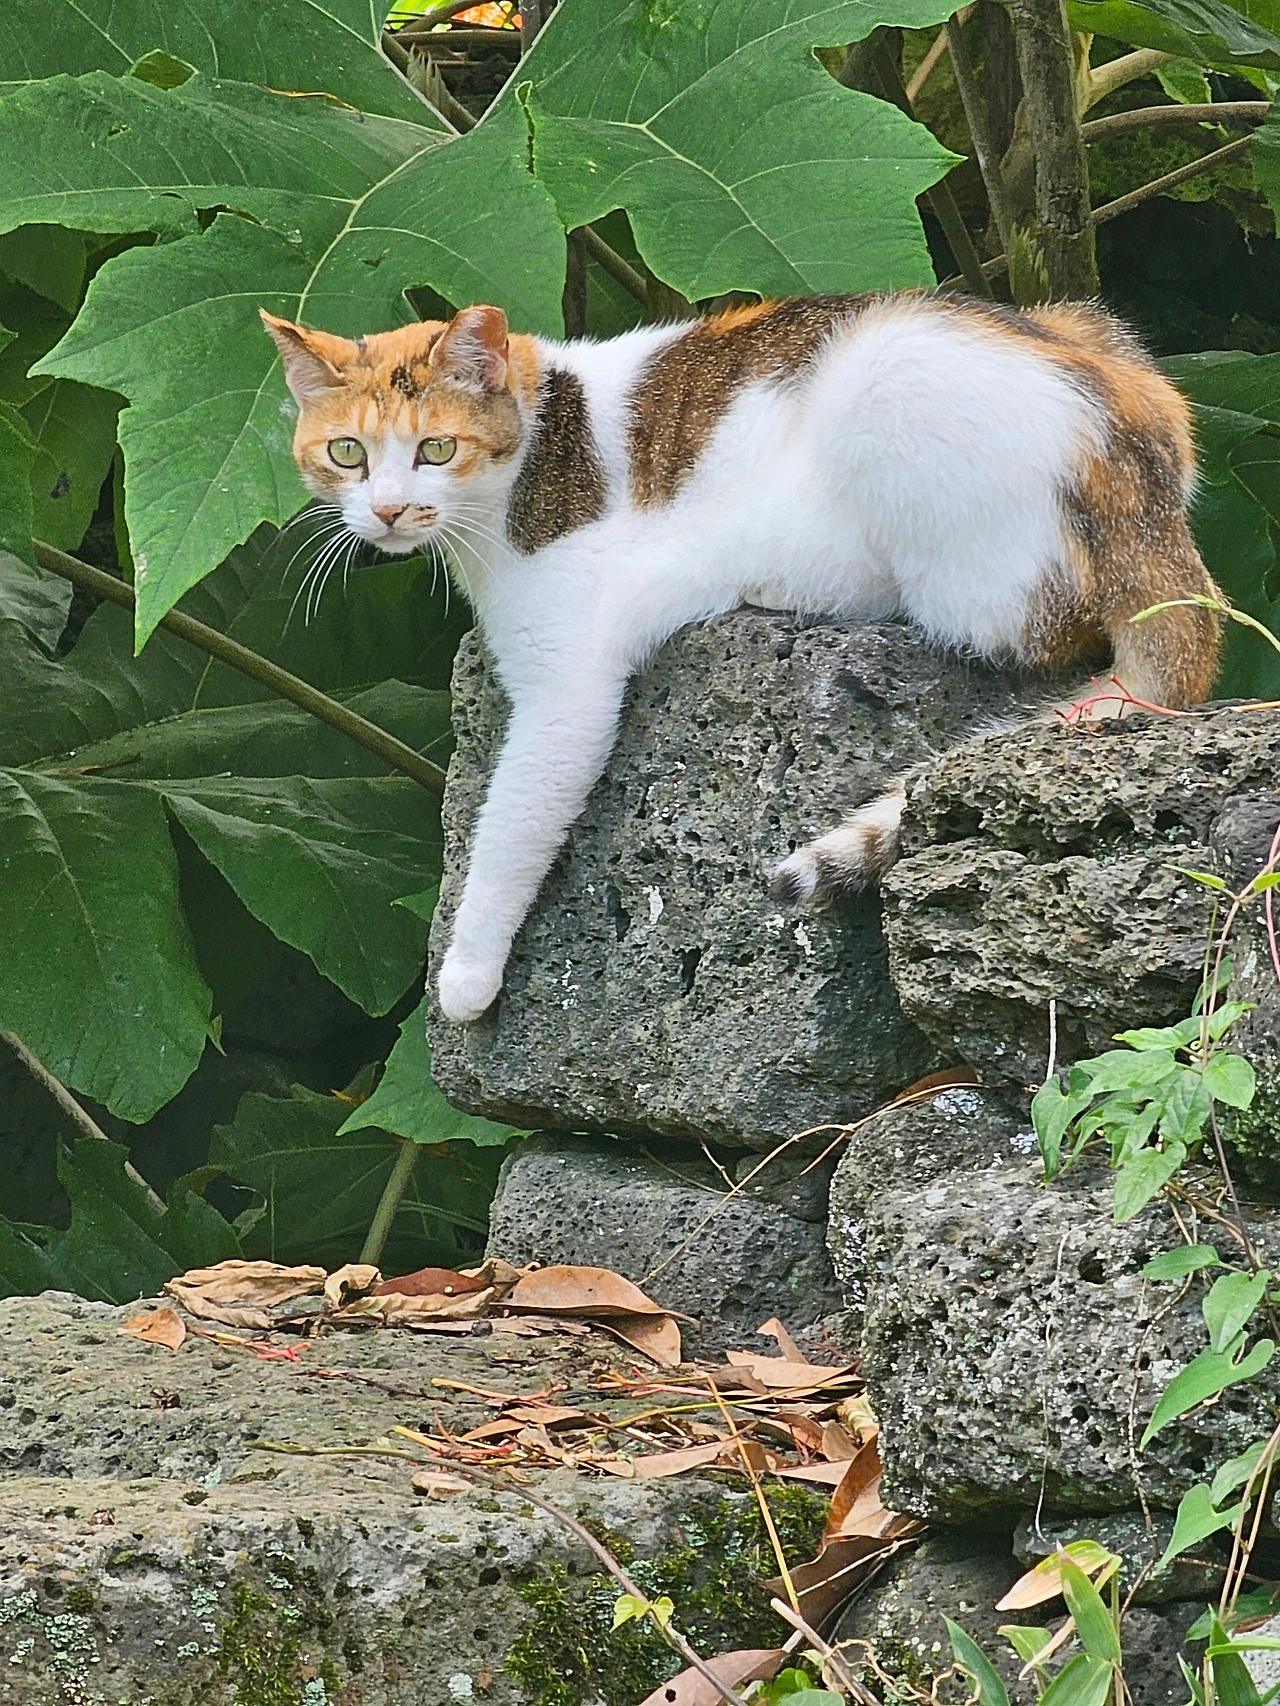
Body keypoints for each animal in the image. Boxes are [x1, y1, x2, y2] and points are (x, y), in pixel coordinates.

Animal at [262, 293, 1221, 1024]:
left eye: (436, 448)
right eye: (346, 453)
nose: (388, 511)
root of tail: (1142, 480)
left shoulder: (567, 685)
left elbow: (513, 824)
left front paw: (466, 974)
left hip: (896, 399)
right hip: (1099, 328)